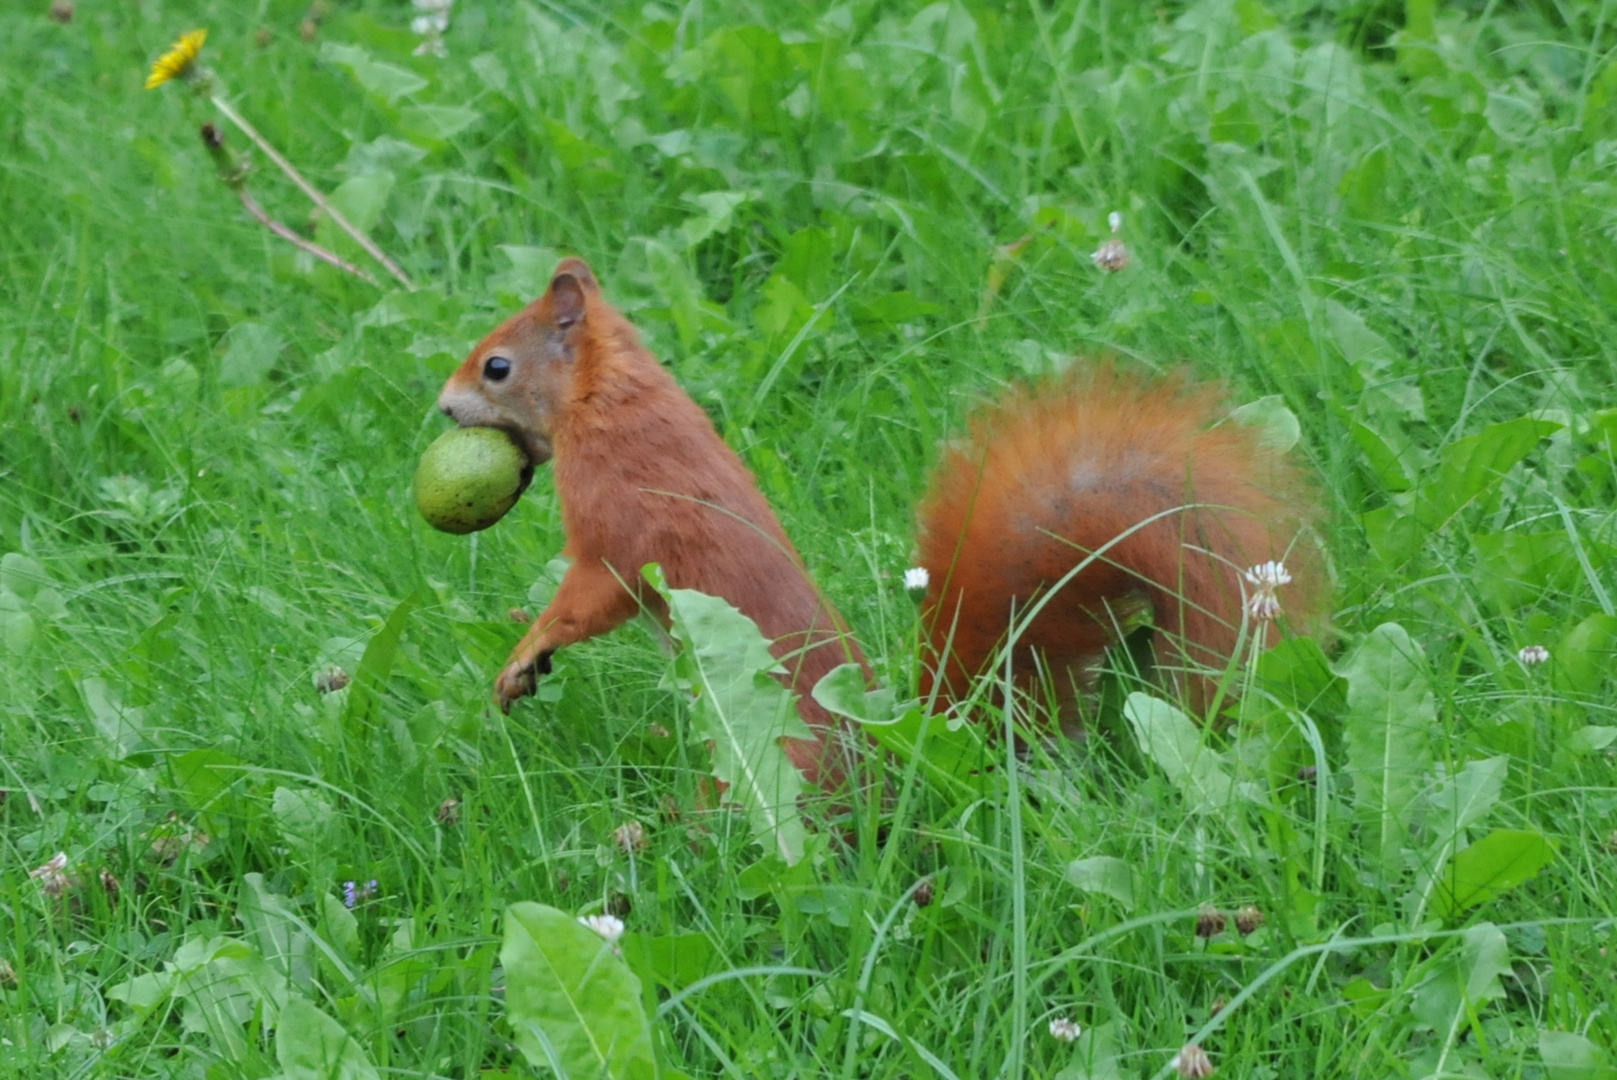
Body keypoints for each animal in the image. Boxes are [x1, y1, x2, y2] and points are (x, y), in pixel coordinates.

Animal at [433, 257, 1325, 785]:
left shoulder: (621, 521)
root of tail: (900, 773)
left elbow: (589, 596)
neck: (607, 400)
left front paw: (523, 655)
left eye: (497, 366)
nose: (443, 407)